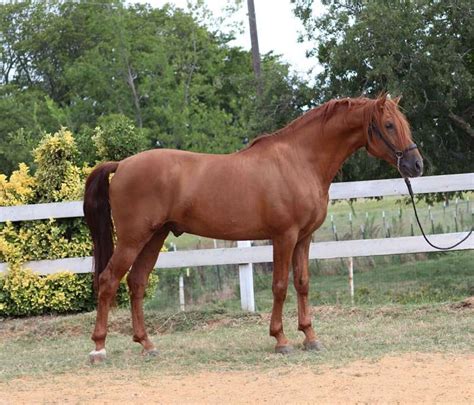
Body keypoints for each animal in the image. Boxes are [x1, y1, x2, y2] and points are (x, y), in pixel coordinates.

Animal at [84, 95, 422, 362]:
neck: (299, 160)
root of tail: (122, 165)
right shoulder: (284, 237)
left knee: (137, 283)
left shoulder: (304, 238)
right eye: (389, 125)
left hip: (155, 236)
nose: (416, 165)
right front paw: (281, 340)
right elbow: (280, 286)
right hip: (133, 238)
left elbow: (302, 283)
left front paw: (310, 337)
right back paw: (99, 348)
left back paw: (147, 344)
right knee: (108, 281)